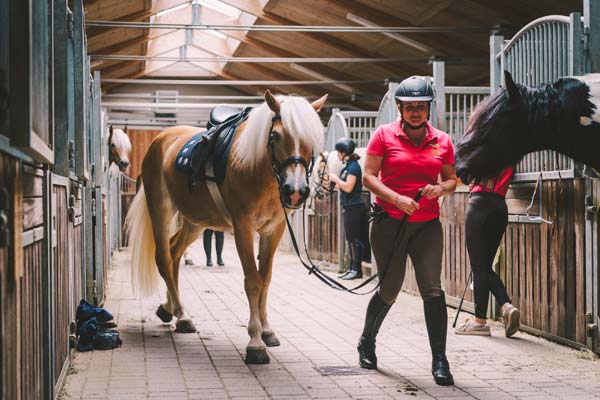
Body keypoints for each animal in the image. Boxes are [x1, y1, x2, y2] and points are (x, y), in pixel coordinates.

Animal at [123, 90, 326, 362]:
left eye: (311, 139)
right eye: (275, 136)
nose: (295, 190)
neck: (257, 168)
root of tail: (161, 139)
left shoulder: (274, 230)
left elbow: (266, 278)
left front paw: (267, 331)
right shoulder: (243, 228)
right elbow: (253, 281)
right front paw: (255, 342)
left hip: (196, 221)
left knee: (175, 252)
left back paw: (171, 309)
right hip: (161, 209)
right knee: (164, 258)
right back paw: (183, 316)